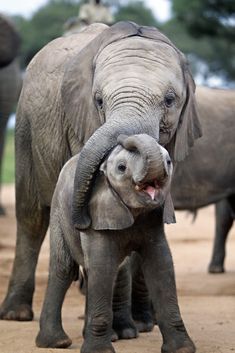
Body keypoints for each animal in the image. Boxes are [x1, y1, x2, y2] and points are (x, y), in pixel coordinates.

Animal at [0, 22, 201, 328]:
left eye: (169, 100)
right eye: (99, 101)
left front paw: (141, 325)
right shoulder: (80, 125)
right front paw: (120, 329)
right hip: (24, 126)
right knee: (31, 217)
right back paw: (17, 314)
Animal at [36, 133, 195, 350]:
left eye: (169, 162)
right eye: (121, 168)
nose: (123, 136)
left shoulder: (153, 219)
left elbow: (161, 265)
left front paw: (183, 349)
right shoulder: (97, 213)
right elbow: (103, 267)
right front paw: (98, 351)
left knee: (99, 271)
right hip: (58, 211)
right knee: (64, 268)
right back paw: (56, 342)